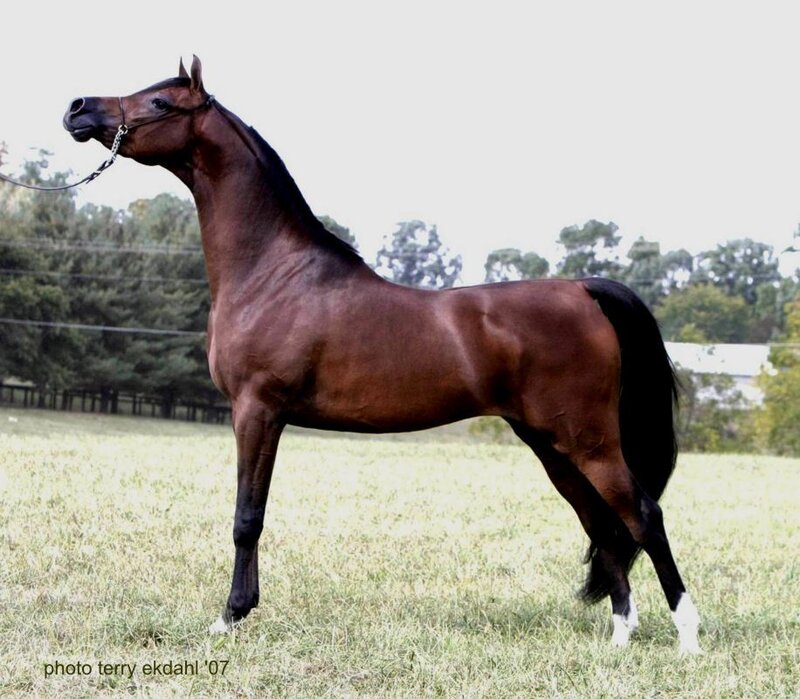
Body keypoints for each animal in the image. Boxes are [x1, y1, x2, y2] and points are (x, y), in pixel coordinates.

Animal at [64, 56, 700, 653]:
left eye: (160, 102)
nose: (78, 109)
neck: (272, 272)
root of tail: (582, 291)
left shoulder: (256, 411)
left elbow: (248, 518)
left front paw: (230, 617)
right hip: (552, 446)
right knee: (603, 523)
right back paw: (621, 633)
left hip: (588, 442)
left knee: (643, 516)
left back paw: (687, 634)